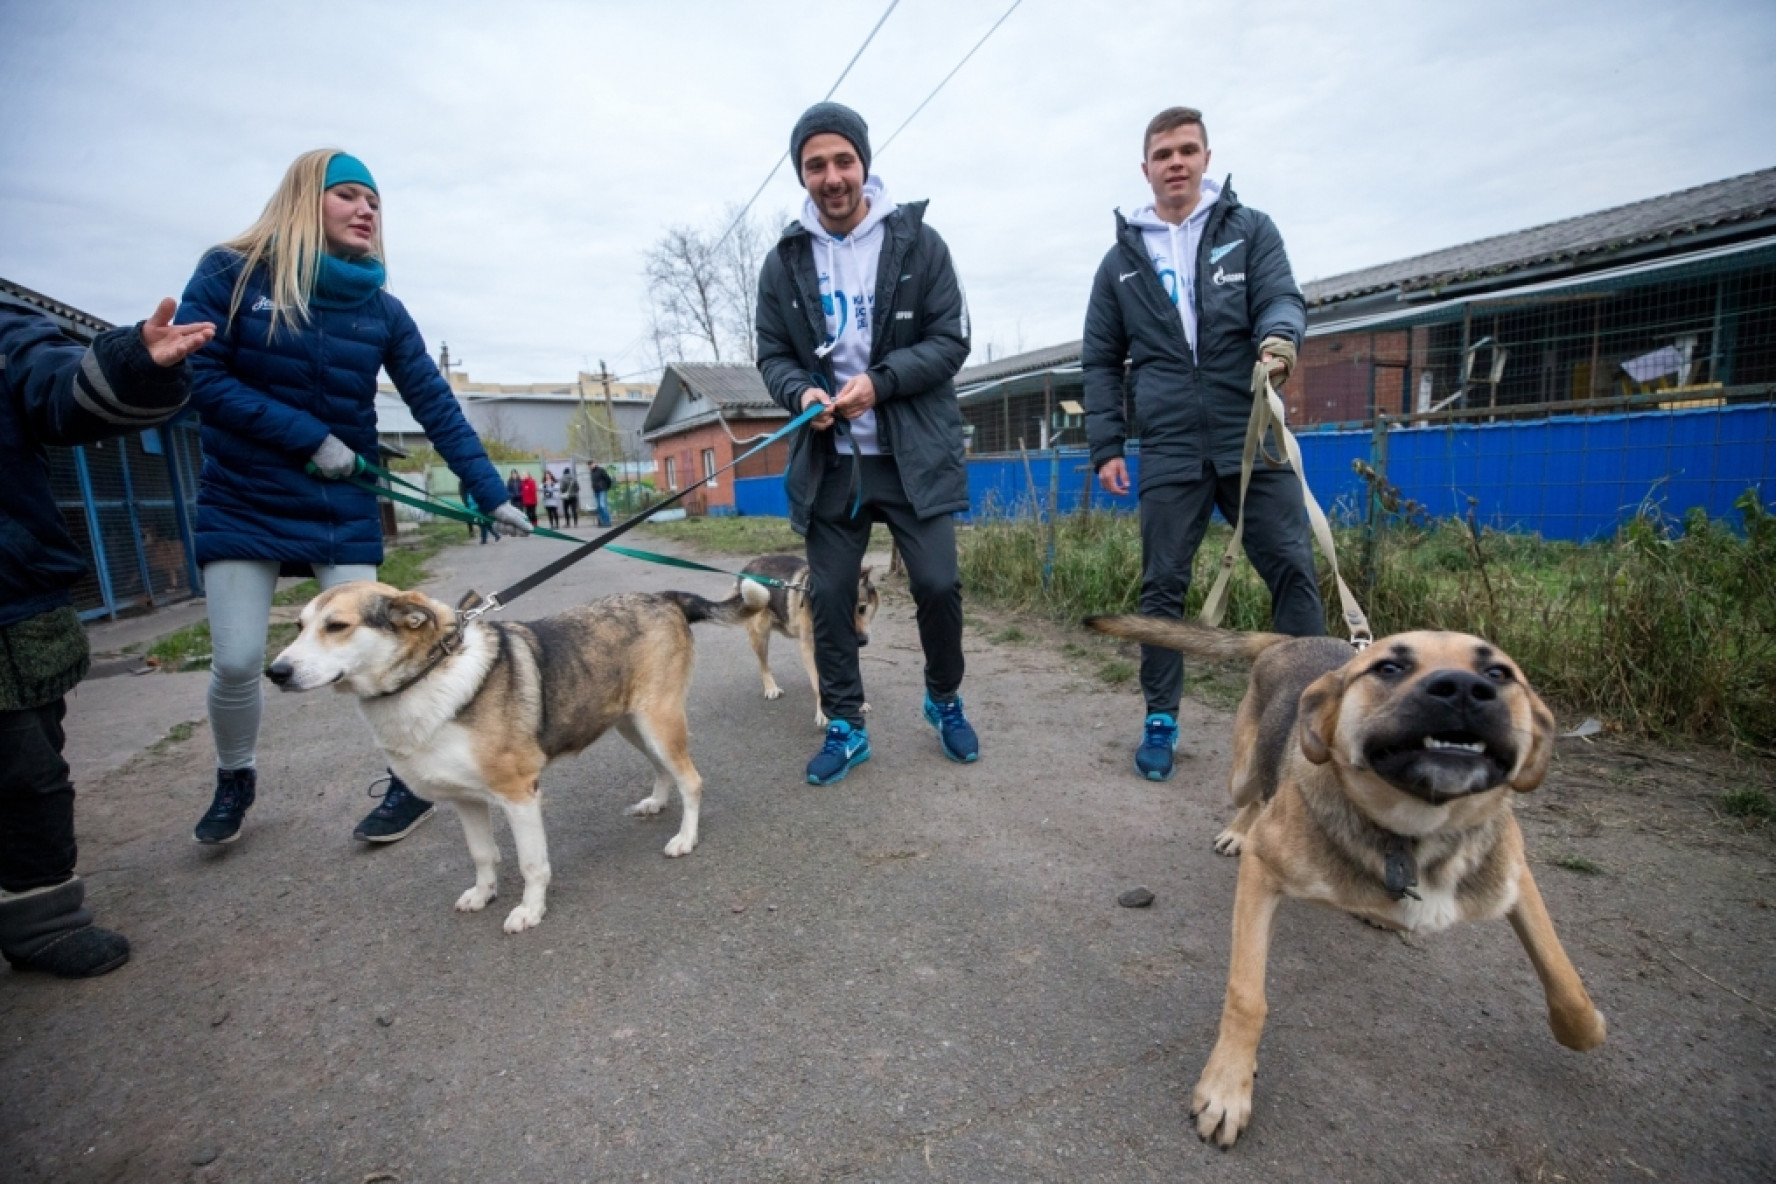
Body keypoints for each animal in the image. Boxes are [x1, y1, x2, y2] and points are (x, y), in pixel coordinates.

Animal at [268, 582, 763, 937]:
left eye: (337, 626)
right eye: (298, 626)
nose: (275, 673)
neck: (429, 675)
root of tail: (663, 596)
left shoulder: (519, 795)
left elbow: (531, 863)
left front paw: (530, 910)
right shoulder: (466, 801)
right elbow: (483, 854)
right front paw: (483, 893)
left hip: (657, 721)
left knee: (691, 780)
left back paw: (686, 838)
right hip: (629, 722)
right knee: (664, 770)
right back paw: (656, 802)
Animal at [731, 557, 877, 731]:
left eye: (862, 608)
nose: (861, 641)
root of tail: (747, 566)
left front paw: (856, 703)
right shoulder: (809, 648)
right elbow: (818, 685)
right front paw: (824, 713)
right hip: (760, 631)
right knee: (763, 664)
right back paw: (771, 687)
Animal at [1079, 621, 1612, 1150]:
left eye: (1499, 673)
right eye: (1389, 667)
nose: (1462, 689)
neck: (1415, 831)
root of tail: (1291, 640)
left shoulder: (1514, 879)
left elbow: (1563, 977)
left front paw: (1584, 1028)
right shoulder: (1263, 872)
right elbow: (1247, 995)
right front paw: (1227, 1088)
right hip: (1243, 772)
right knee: (1255, 796)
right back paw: (1239, 830)